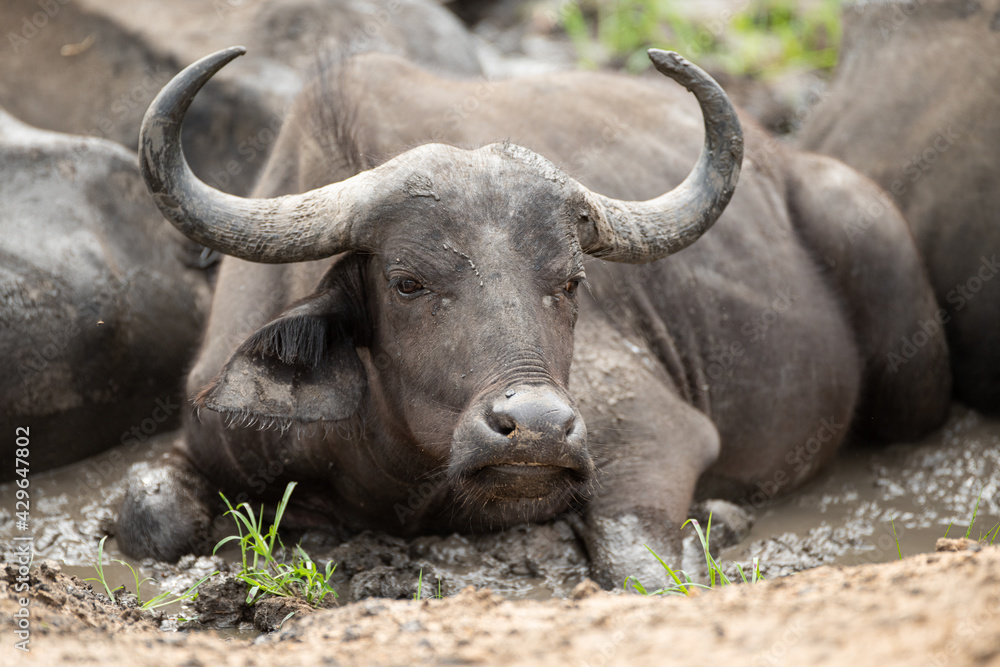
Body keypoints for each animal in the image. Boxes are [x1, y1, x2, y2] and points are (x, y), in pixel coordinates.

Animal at [118, 46, 949, 588]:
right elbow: (146, 513)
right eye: (408, 281)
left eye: (572, 280)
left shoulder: (653, 434)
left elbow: (637, 562)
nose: (539, 429)